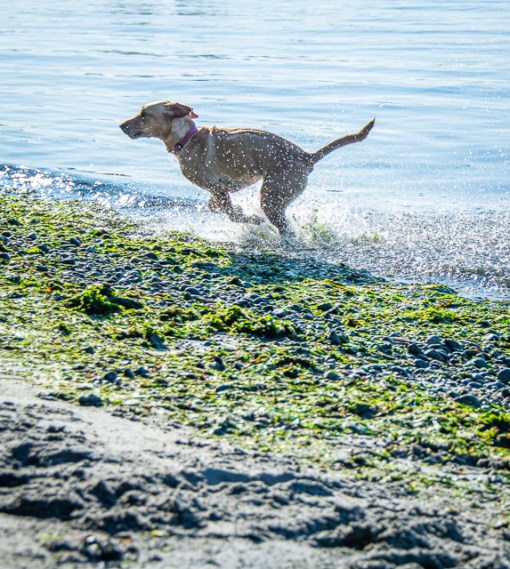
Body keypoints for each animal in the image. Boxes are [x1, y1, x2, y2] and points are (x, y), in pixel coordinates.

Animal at [120, 101, 374, 234]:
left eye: (143, 114)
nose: (121, 125)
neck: (187, 139)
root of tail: (306, 157)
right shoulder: (223, 189)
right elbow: (217, 206)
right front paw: (239, 211)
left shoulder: (216, 187)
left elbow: (231, 213)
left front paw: (249, 219)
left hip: (271, 197)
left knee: (285, 229)